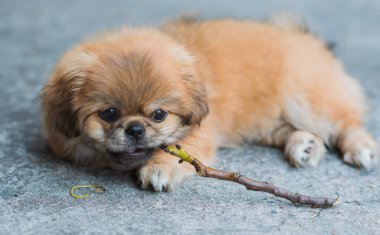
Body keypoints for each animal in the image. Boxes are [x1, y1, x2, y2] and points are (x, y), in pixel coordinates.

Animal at [40, 16, 378, 191]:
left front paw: (159, 168)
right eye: (109, 114)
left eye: (159, 115)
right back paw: (305, 146)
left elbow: (183, 150)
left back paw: (361, 149)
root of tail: (303, 37)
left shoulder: (202, 131)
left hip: (306, 98)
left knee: (346, 123)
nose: (136, 129)